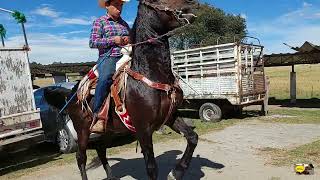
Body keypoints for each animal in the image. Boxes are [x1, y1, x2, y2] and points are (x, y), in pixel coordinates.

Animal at [43, 0, 199, 179]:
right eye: (157, 1)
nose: (193, 5)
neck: (152, 74)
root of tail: (72, 93)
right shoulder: (143, 129)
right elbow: (152, 167)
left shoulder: (170, 116)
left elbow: (193, 137)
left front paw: (177, 171)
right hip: (82, 130)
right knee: (81, 157)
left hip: (108, 130)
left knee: (101, 149)